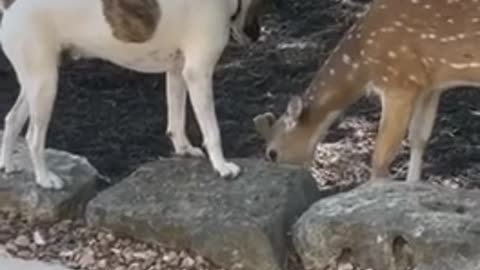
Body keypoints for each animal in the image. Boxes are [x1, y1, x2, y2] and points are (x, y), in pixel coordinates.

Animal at [0, 0, 262, 190]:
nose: (257, 35)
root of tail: (11, 5)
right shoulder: (198, 73)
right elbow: (213, 132)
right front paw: (222, 166)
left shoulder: (177, 71)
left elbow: (176, 121)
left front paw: (184, 149)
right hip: (45, 86)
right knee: (34, 138)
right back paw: (45, 179)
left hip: (35, 84)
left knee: (11, 120)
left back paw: (8, 165)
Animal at [255, 0, 480, 182]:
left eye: (272, 153)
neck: (362, 66)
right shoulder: (429, 85)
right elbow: (418, 138)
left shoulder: (399, 82)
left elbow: (381, 156)